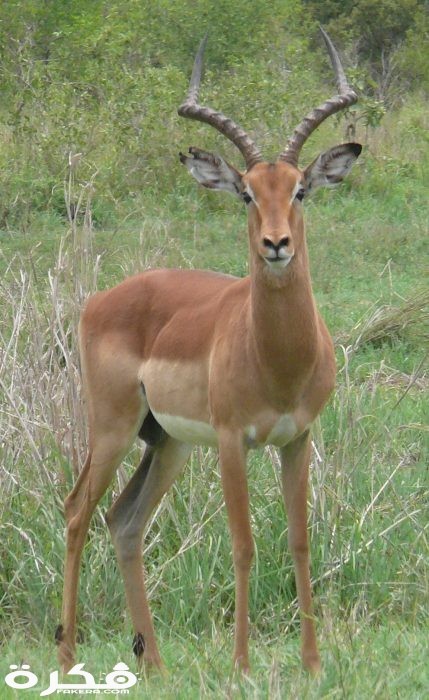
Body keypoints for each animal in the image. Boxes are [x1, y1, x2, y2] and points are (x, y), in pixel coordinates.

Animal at [56, 28, 361, 675]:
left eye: (300, 189)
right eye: (246, 193)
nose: (276, 244)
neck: (277, 362)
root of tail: (101, 299)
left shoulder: (298, 438)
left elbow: (299, 540)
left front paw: (312, 664)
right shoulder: (231, 441)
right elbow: (243, 544)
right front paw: (242, 666)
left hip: (166, 443)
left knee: (125, 521)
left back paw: (154, 663)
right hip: (113, 428)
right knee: (76, 512)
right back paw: (67, 658)